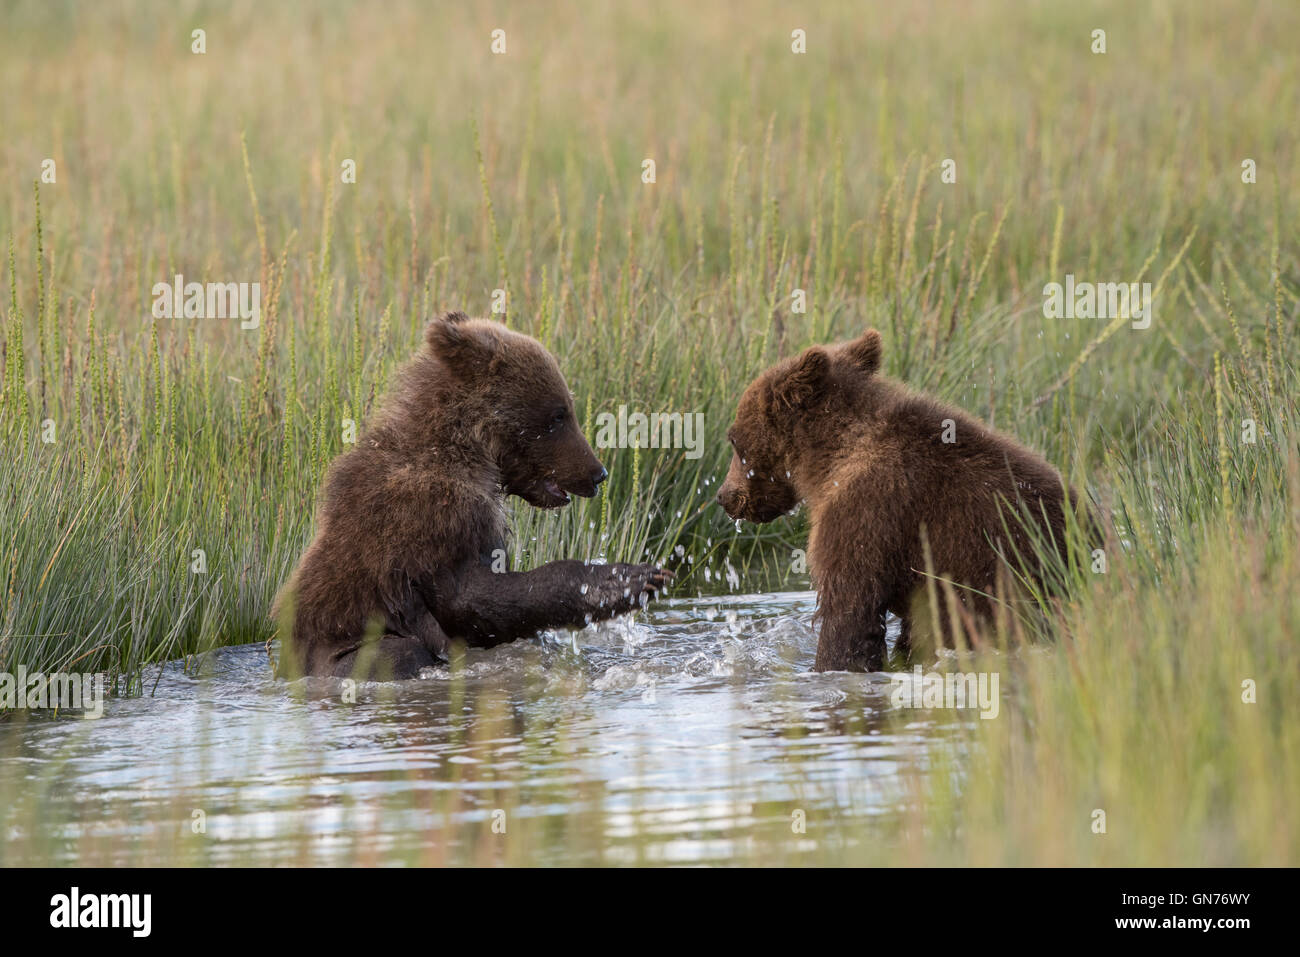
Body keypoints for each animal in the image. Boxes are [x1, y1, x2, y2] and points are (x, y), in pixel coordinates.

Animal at [274, 311, 672, 680]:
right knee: (398, 652)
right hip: (339, 650)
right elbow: (471, 600)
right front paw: (625, 578)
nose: (597, 473)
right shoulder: (435, 519)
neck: (468, 450)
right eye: (558, 414)